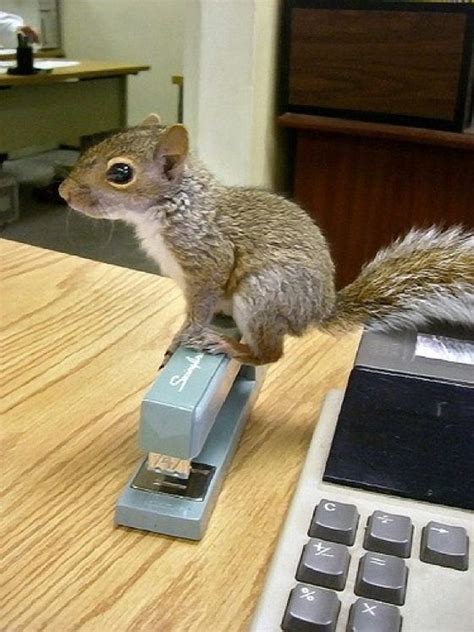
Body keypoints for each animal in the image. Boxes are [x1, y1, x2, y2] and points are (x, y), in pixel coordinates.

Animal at [60, 113, 474, 366]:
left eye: (121, 173)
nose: (64, 192)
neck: (172, 206)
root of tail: (316, 312)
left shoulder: (207, 259)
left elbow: (199, 307)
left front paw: (182, 337)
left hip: (264, 294)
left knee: (271, 354)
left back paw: (231, 347)